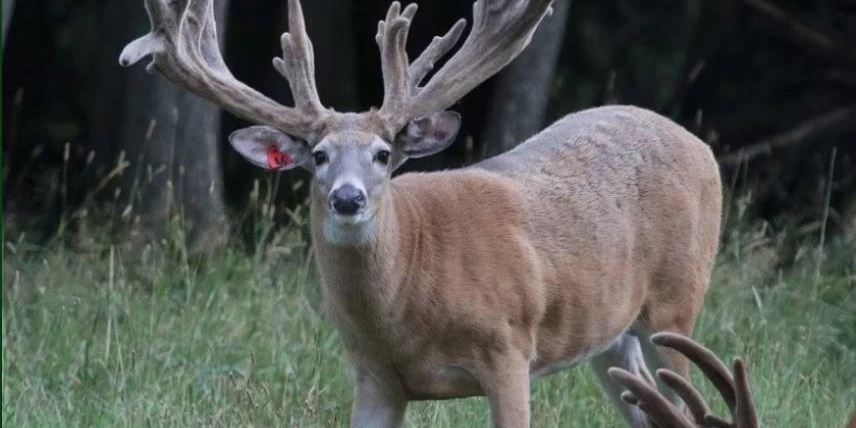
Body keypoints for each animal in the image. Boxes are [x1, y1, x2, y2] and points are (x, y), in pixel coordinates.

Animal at [119, 0, 723, 426]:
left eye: (384, 154)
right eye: (318, 156)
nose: (347, 199)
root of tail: (700, 144)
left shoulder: (509, 348)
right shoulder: (373, 377)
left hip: (676, 300)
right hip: (610, 334)